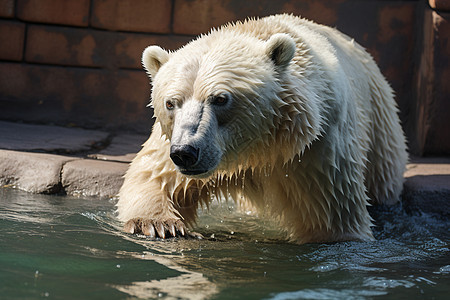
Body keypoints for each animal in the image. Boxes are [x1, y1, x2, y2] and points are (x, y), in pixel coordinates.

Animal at [116, 14, 408, 244]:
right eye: (171, 102)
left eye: (220, 99)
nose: (186, 152)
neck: (259, 148)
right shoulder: (171, 139)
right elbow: (155, 176)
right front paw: (156, 224)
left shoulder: (317, 148)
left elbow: (333, 215)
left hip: (379, 119)